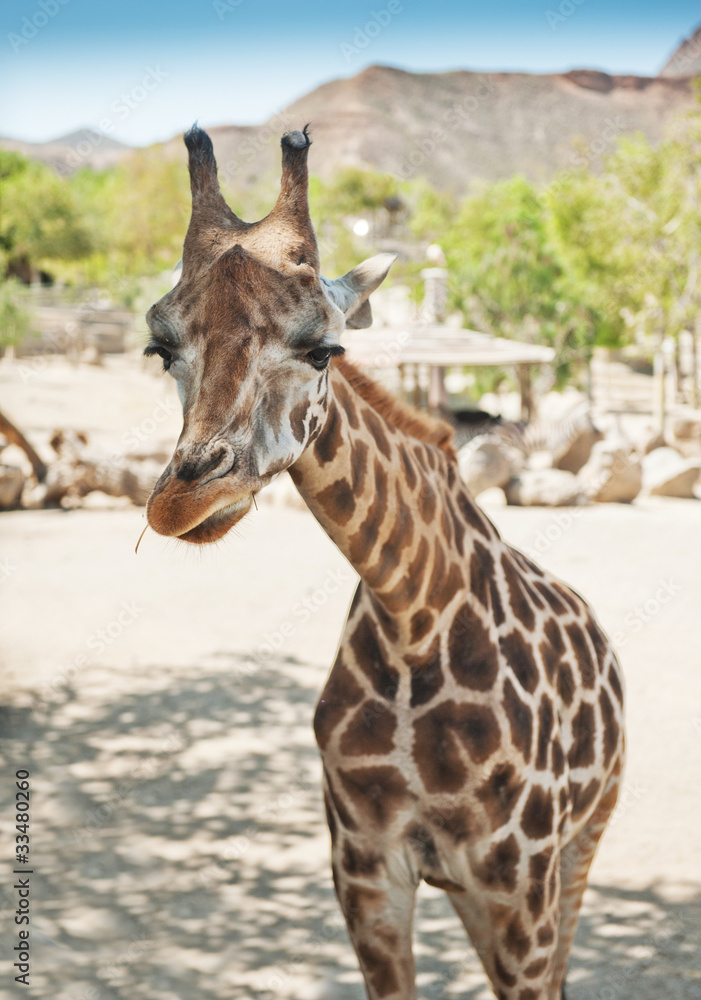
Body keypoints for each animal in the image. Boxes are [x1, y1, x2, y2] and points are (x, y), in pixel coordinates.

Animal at [143, 125, 625, 1000]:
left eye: (322, 347)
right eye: (160, 348)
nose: (183, 500)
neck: (414, 615)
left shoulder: (520, 881)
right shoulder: (365, 872)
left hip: (580, 845)